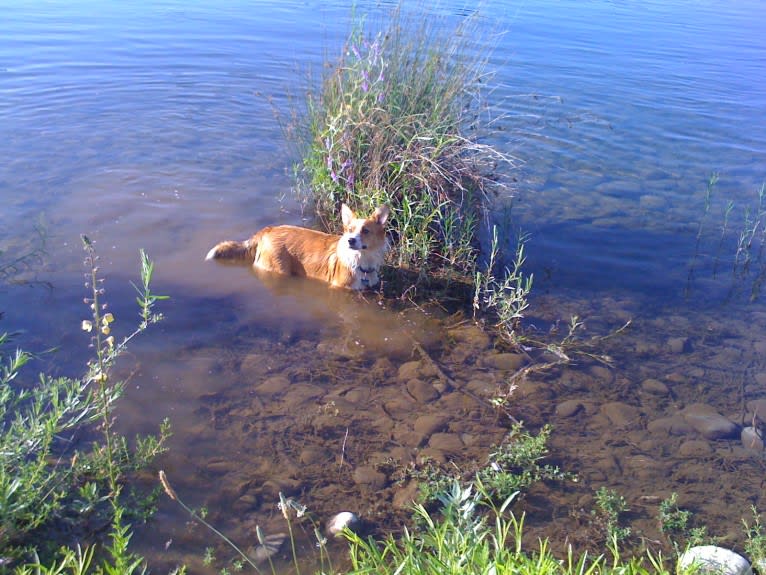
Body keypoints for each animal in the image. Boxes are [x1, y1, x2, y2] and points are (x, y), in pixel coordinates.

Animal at [206, 205, 390, 290]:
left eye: (365, 231)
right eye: (350, 230)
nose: (350, 241)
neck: (362, 260)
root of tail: (268, 230)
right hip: (279, 269)